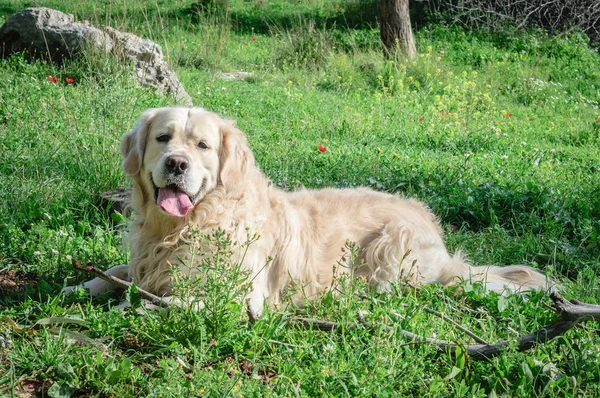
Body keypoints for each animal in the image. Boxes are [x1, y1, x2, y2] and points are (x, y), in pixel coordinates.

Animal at [62, 107, 552, 312]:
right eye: (163, 138)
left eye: (202, 145)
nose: (176, 164)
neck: (181, 227)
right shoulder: (144, 259)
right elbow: (120, 272)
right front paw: (82, 286)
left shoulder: (244, 295)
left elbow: (176, 300)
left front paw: (142, 306)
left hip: (391, 249)